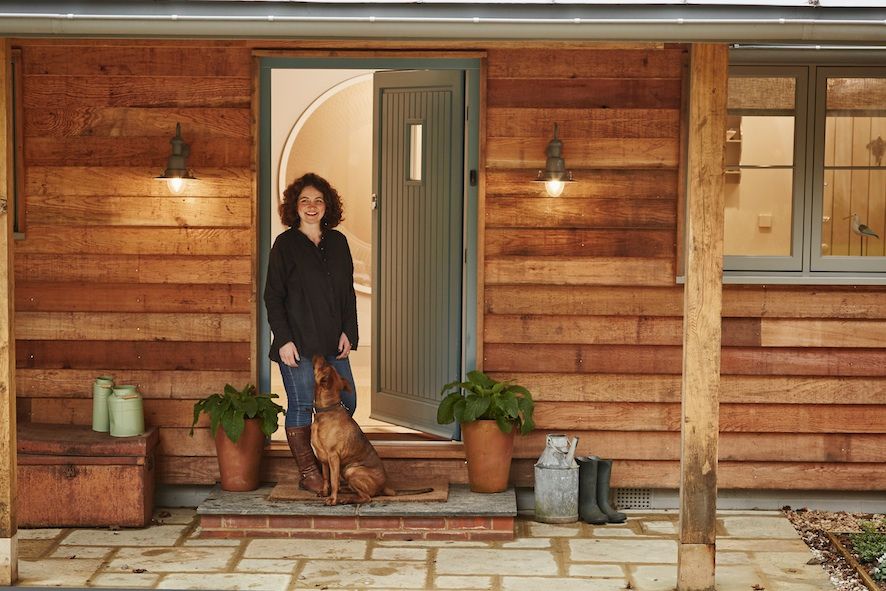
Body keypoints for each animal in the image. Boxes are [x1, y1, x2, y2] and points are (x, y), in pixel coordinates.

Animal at [310, 354, 398, 506]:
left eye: (323, 365)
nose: (319, 354)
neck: (327, 410)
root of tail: (383, 487)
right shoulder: (323, 459)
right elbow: (326, 478)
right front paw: (325, 492)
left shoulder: (333, 456)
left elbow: (333, 480)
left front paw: (332, 499)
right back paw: (345, 492)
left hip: (351, 470)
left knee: (366, 497)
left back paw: (345, 499)